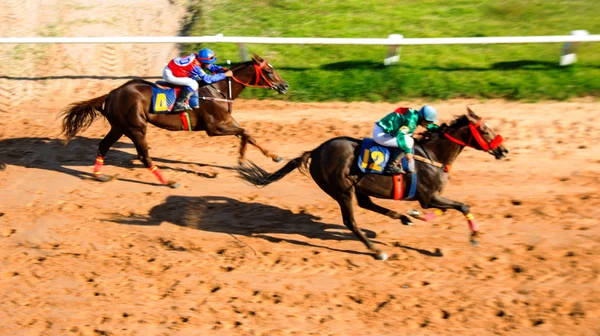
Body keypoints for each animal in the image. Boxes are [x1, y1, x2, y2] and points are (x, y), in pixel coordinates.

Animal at [61, 53, 288, 188]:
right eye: (269, 71)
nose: (285, 86)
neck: (218, 89)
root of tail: (110, 94)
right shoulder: (214, 127)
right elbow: (245, 132)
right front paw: (258, 158)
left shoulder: (225, 122)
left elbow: (246, 134)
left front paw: (255, 158)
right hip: (135, 128)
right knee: (144, 156)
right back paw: (169, 182)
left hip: (118, 127)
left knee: (103, 146)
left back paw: (99, 175)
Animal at [237, 107, 508, 260]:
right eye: (484, 131)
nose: (503, 150)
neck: (433, 155)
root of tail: (316, 150)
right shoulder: (429, 197)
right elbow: (463, 206)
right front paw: (474, 237)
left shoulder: (432, 198)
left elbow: (453, 207)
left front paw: (415, 215)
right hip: (340, 189)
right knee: (351, 221)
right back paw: (377, 251)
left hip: (356, 186)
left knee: (367, 204)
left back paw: (404, 218)